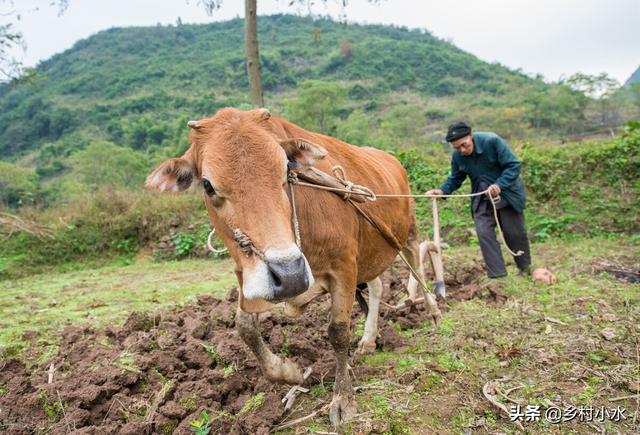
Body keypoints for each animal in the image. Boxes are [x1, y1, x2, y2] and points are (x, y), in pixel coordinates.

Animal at [145, 108, 440, 426]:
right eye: (208, 185)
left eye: (286, 170)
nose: (290, 274)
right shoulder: (251, 277)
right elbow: (244, 327)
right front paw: (291, 372)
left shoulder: (344, 268)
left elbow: (338, 332)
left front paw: (343, 399)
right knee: (377, 285)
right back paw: (368, 340)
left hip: (407, 234)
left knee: (418, 266)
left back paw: (434, 312)